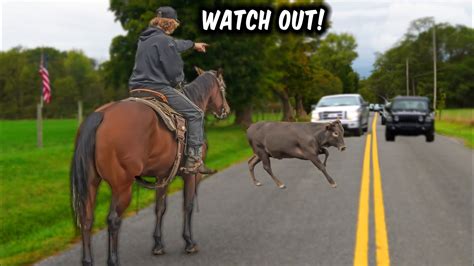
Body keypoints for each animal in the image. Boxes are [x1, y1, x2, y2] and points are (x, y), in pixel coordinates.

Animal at [71, 67, 231, 264]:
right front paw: (189, 242)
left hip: (91, 182)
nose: (226, 110)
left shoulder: (162, 176)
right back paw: (113, 260)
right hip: (122, 187)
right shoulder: (192, 175)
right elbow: (188, 205)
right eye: (223, 87)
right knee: (113, 220)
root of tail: (100, 115)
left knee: (86, 219)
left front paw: (158, 244)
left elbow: (160, 208)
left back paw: (87, 260)